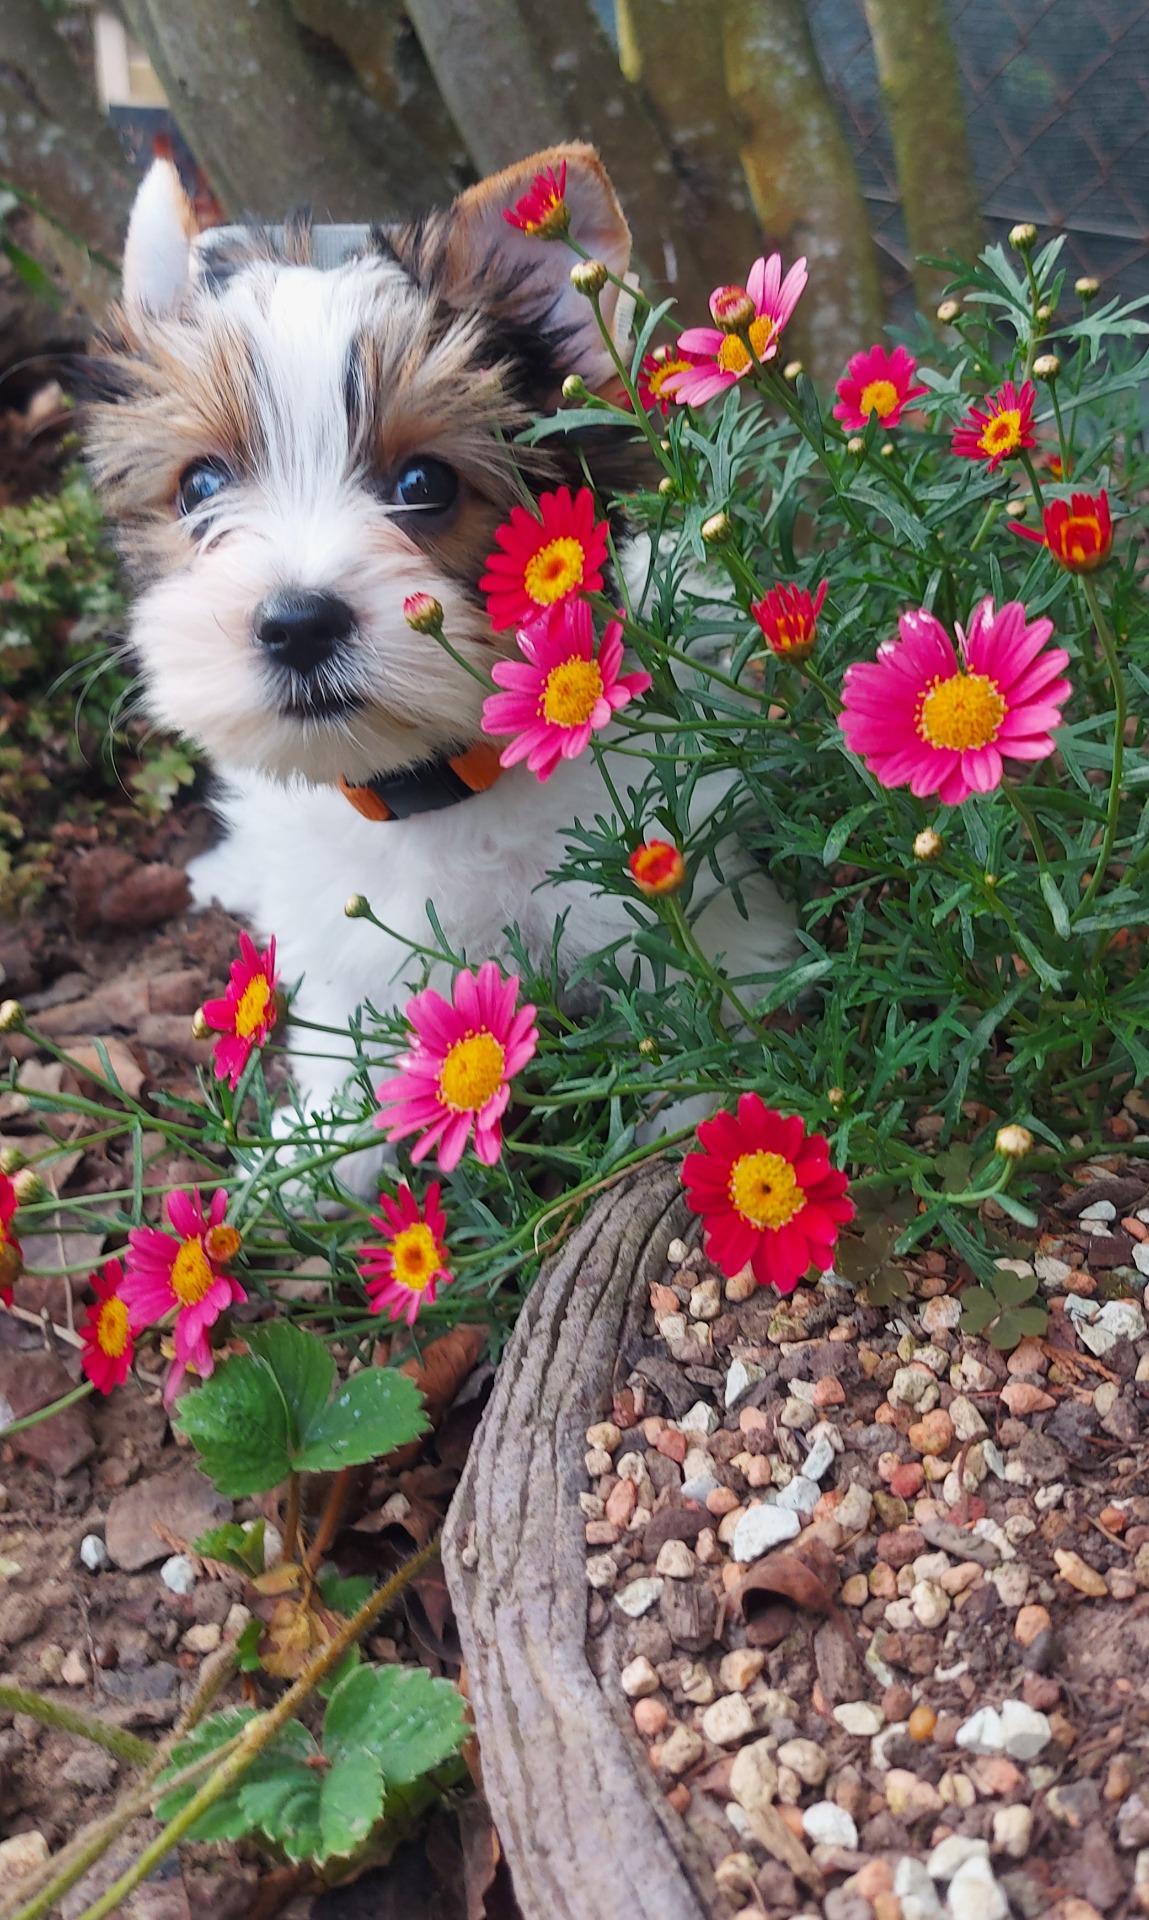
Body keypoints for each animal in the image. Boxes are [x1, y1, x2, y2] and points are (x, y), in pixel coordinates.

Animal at [85, 145, 796, 1167]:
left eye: (425, 482)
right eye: (200, 486)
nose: (297, 622)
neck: (432, 788)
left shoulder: (697, 900)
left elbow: (713, 1010)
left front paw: (699, 1118)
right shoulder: (349, 958)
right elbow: (344, 1056)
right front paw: (301, 1165)